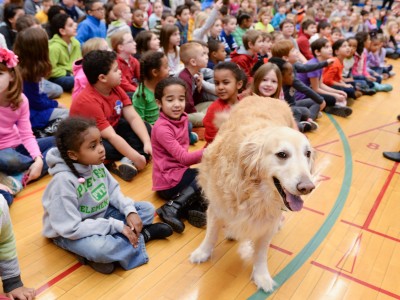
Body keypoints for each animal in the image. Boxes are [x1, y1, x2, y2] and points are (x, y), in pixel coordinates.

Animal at [191, 96, 316, 292]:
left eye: (308, 153)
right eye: (282, 154)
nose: (308, 187)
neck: (255, 192)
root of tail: (266, 97)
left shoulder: (268, 221)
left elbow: (261, 253)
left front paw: (261, 276)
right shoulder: (216, 208)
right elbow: (211, 234)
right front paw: (202, 253)